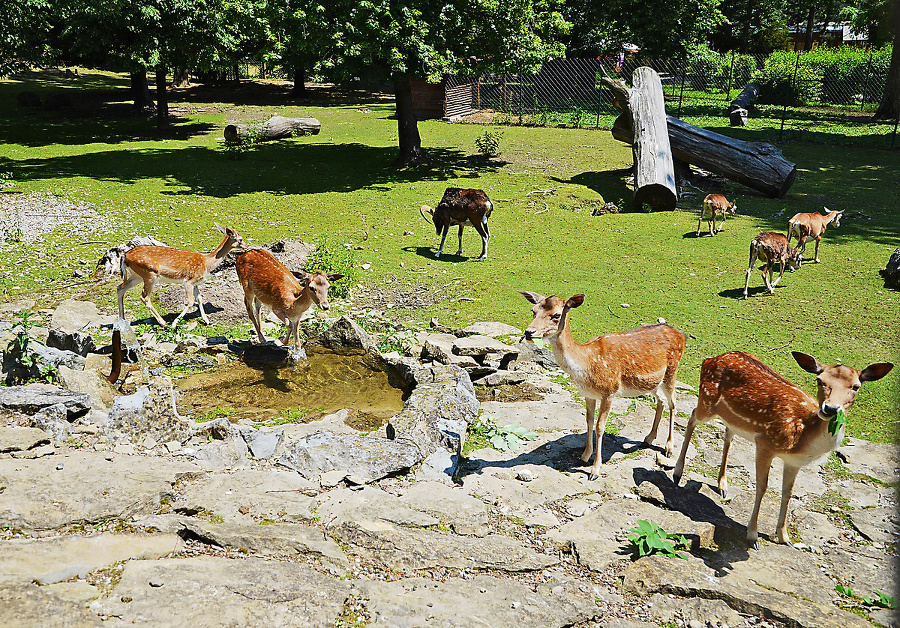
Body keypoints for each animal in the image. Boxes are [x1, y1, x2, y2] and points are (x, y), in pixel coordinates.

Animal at [118, 223, 250, 326]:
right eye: (240, 239)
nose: (246, 246)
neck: (206, 263)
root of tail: (125, 255)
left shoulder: (196, 282)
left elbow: (199, 298)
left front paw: (207, 321)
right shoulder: (189, 280)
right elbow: (190, 302)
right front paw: (175, 322)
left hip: (136, 276)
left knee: (120, 288)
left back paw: (122, 319)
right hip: (149, 274)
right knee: (144, 297)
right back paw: (163, 322)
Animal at [516, 290, 684, 480]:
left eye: (556, 315)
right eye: (533, 310)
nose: (529, 332)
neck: (587, 364)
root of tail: (681, 335)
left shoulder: (609, 391)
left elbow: (600, 426)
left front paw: (595, 470)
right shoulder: (588, 394)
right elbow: (588, 421)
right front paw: (584, 456)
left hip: (672, 371)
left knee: (673, 402)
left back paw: (669, 448)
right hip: (652, 382)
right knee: (661, 401)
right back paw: (648, 438)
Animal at [676, 350, 892, 548]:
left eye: (856, 386)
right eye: (819, 380)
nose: (830, 409)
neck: (803, 439)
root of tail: (710, 359)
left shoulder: (794, 462)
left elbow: (788, 493)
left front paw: (785, 538)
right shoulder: (764, 443)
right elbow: (762, 487)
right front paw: (752, 535)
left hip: (732, 418)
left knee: (728, 433)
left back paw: (722, 485)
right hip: (707, 401)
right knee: (692, 416)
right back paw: (677, 472)